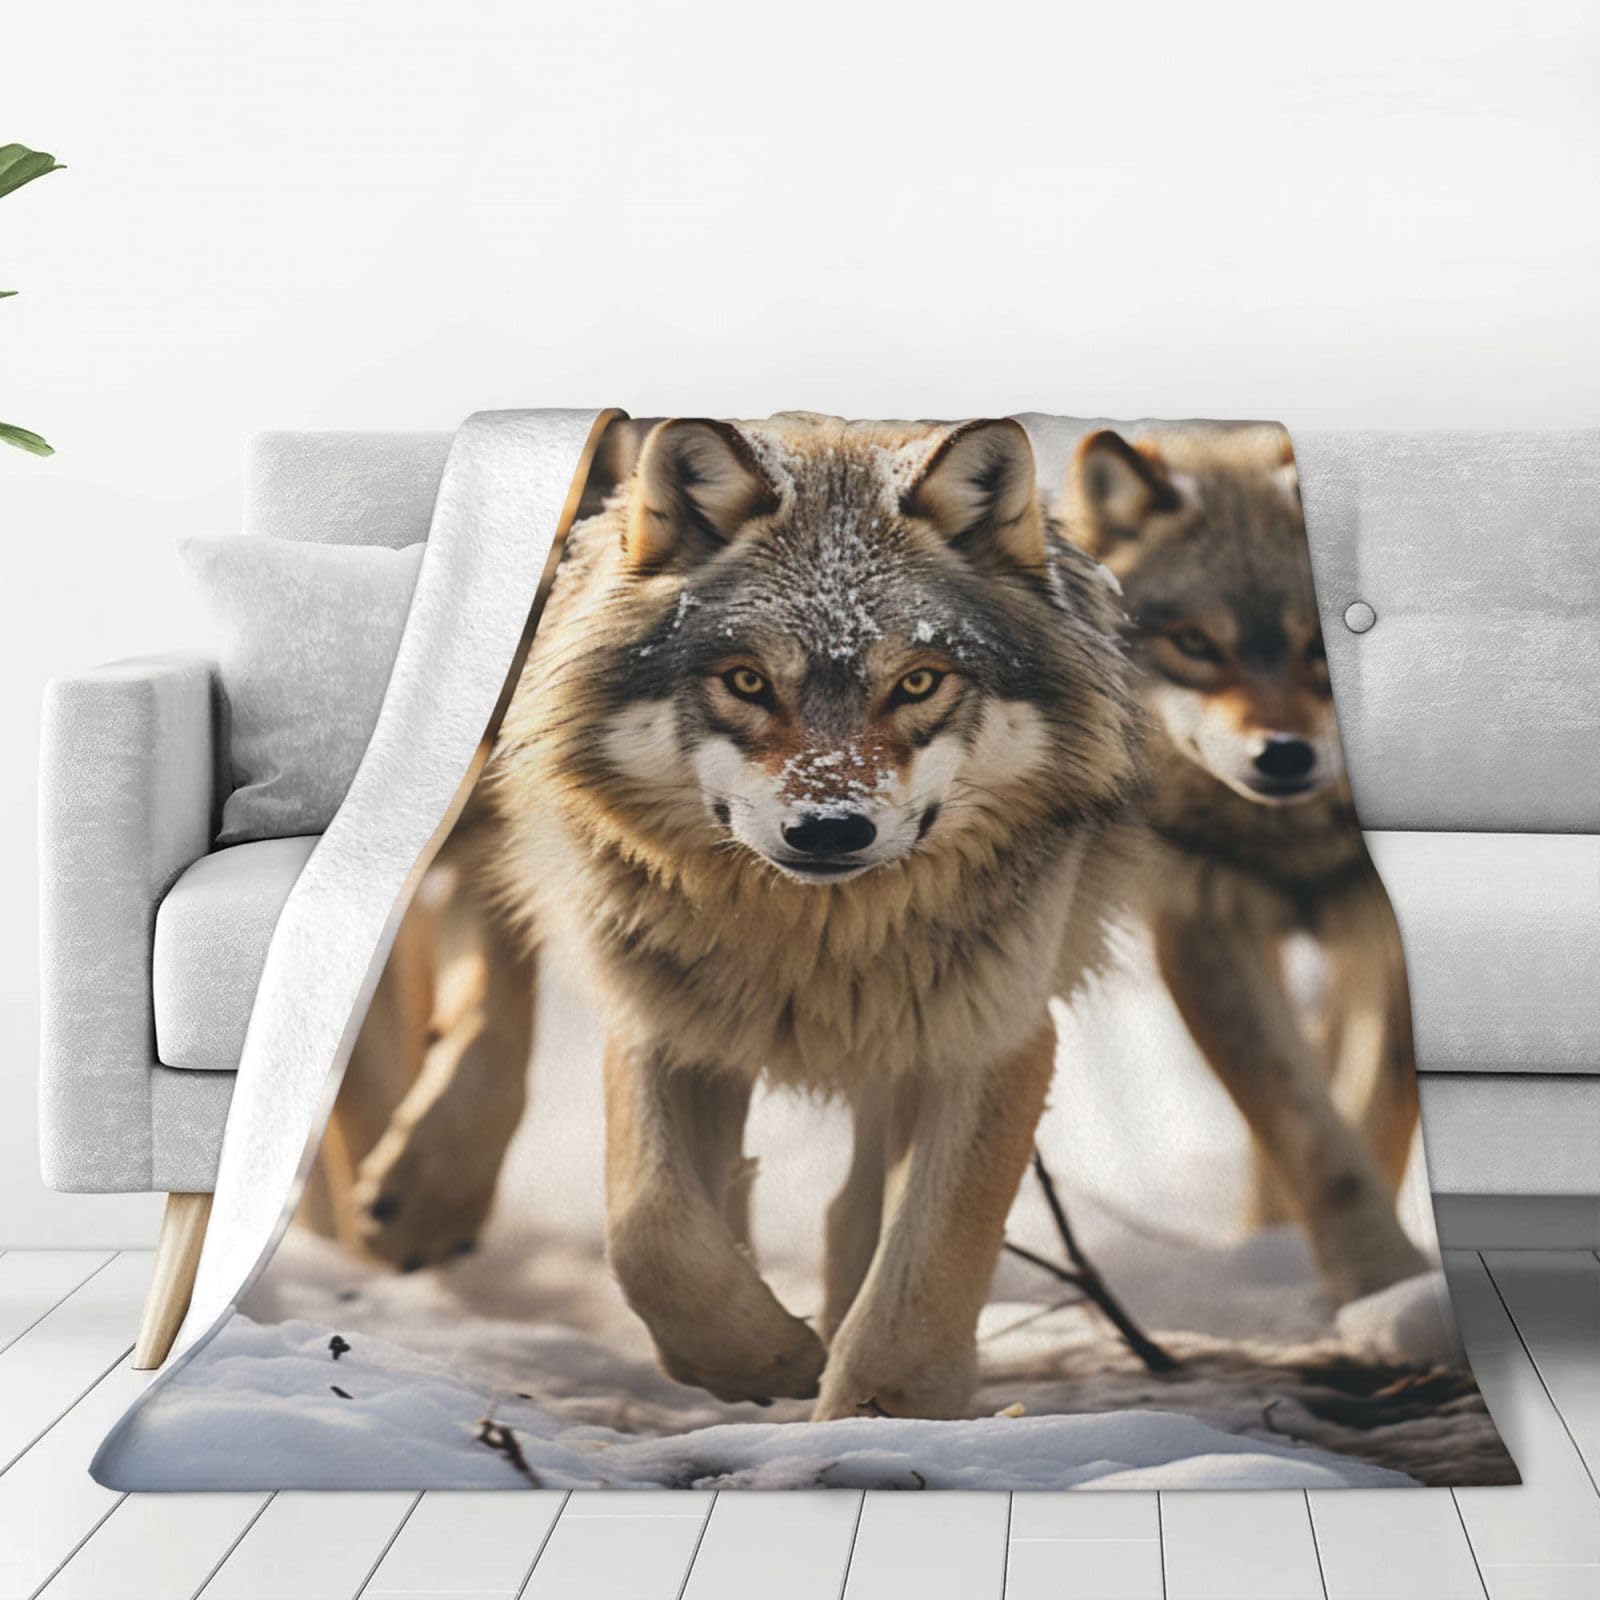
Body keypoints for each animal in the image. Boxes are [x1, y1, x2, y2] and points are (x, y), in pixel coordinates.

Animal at [475, 412, 1142, 1419]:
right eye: (748, 682)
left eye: (918, 683)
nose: (830, 829)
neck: (811, 946)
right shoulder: (660, 1019)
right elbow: (650, 1231)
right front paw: (762, 1361)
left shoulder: (998, 1035)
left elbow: (929, 1260)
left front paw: (885, 1413)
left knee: (860, 1205)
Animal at [1063, 424, 1427, 1302]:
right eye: (1196, 644)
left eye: (1317, 644)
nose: (1285, 755)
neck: (1288, 841)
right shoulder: (1204, 925)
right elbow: (1306, 1135)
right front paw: (1366, 1276)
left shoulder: (1381, 942)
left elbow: (1371, 1121)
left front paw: (1394, 1293)